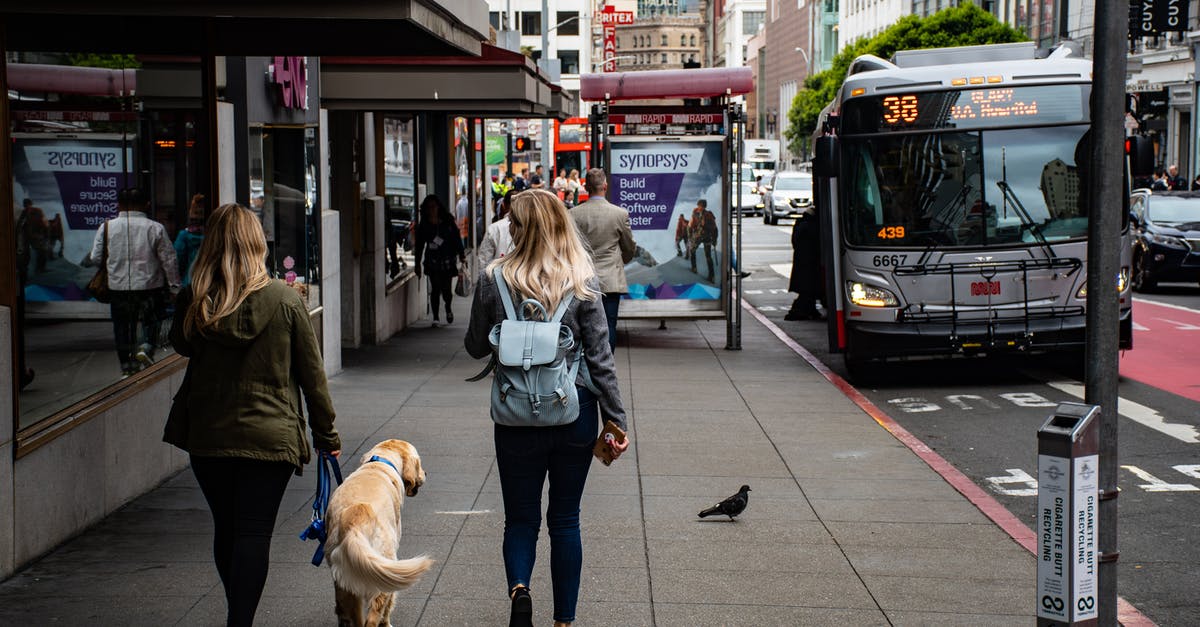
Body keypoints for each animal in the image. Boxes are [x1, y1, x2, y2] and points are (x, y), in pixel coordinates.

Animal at [326, 439, 434, 624]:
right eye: (419, 463)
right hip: (384, 569)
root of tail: (354, 521)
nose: (426, 473)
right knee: (375, 614)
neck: (379, 463)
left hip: (344, 582)